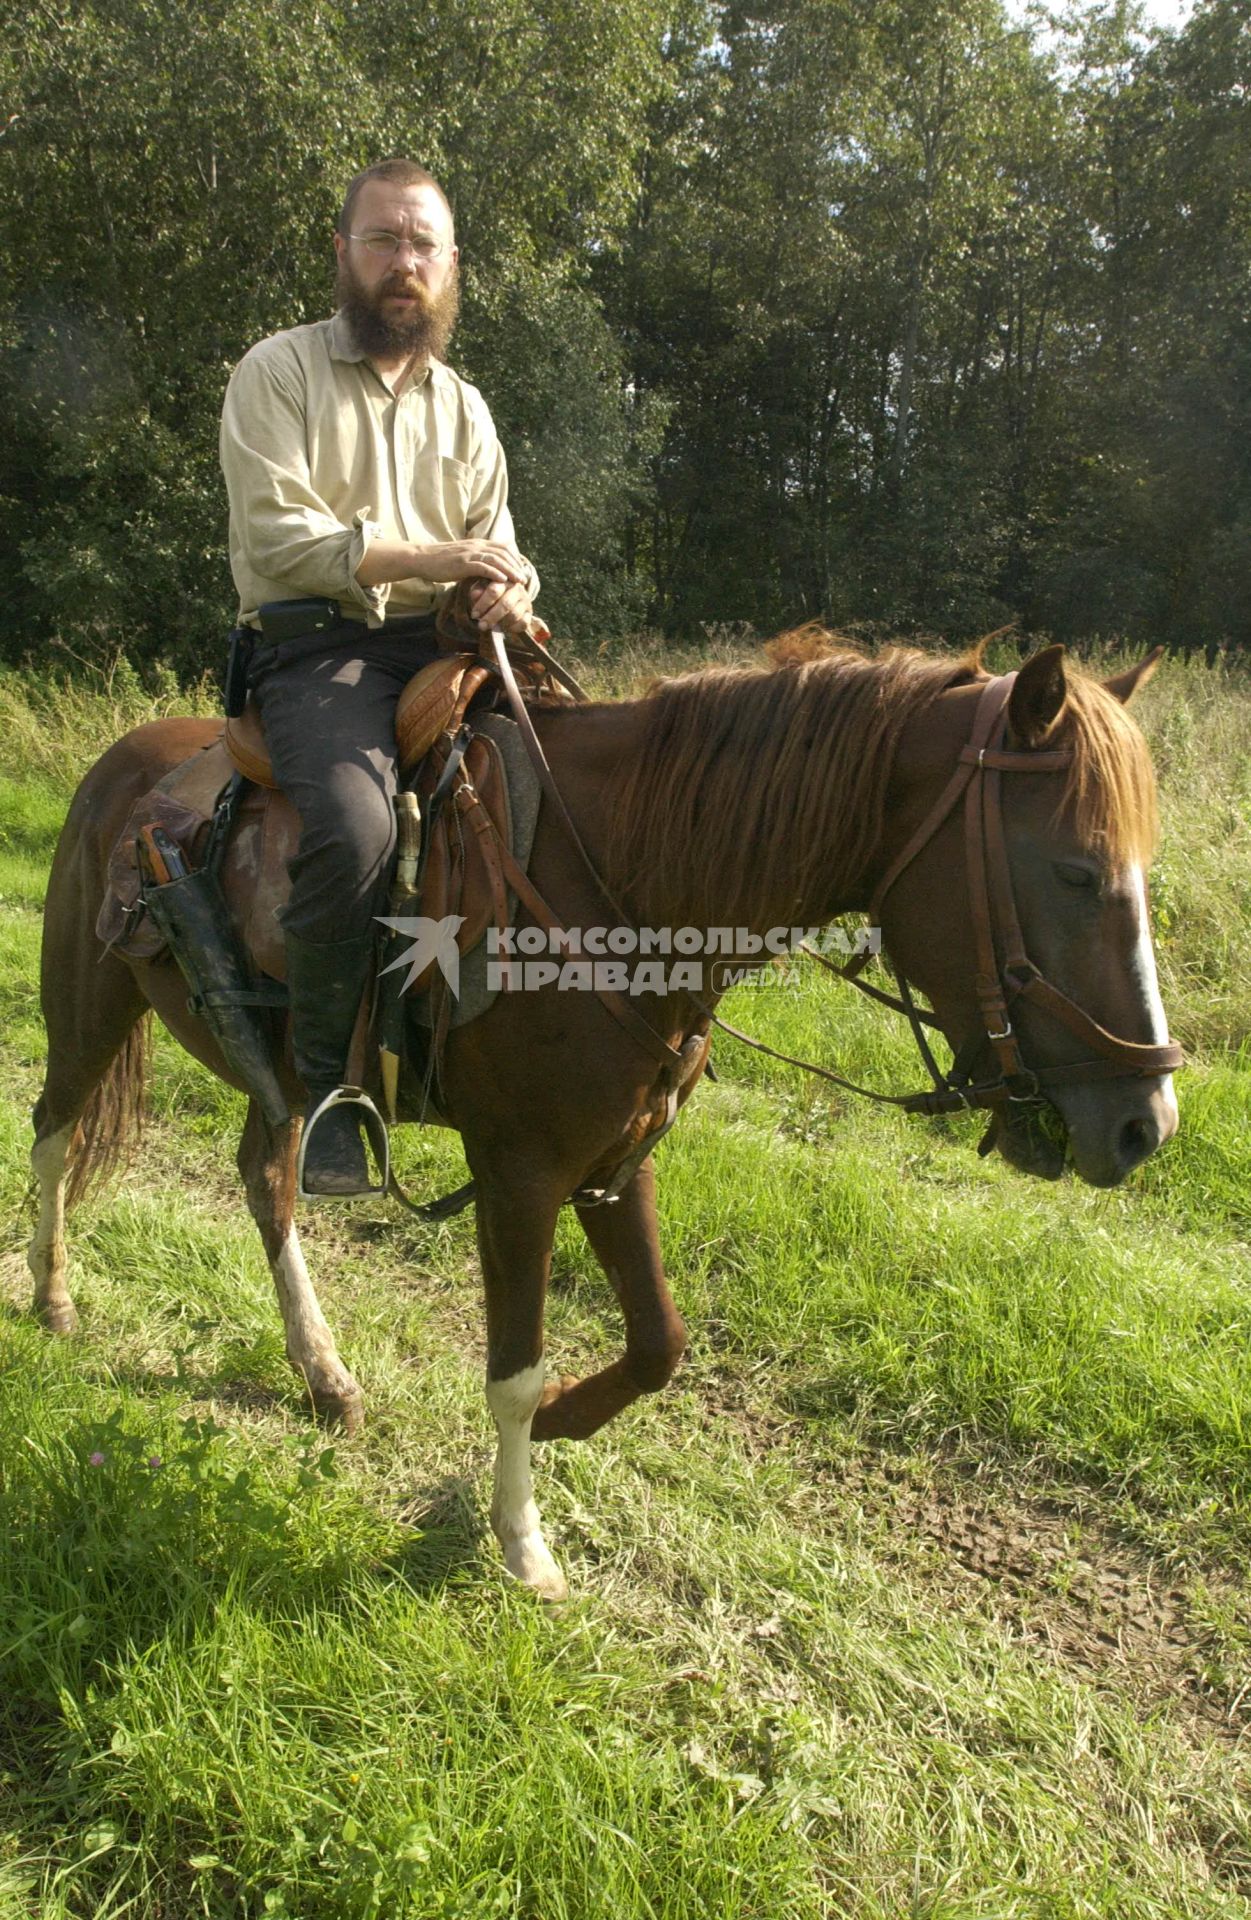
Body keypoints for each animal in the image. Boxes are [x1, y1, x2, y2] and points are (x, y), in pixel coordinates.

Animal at [29, 637, 1181, 1597]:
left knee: (267, 1184)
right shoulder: (521, 1172)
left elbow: (658, 1343)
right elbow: (513, 1369)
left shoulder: (617, 1159)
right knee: (53, 1131)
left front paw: (566, 1423)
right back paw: (51, 1299)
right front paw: (522, 1541)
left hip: (280, 1082)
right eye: (1076, 870)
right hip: (88, 1004)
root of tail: (128, 761)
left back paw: (324, 1377)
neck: (618, 883)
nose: (1147, 1122)